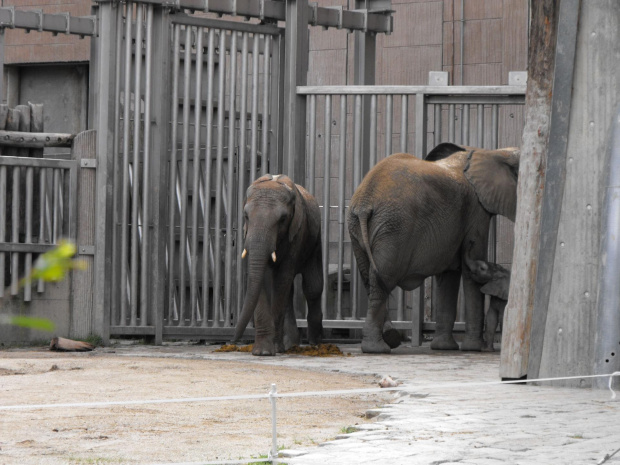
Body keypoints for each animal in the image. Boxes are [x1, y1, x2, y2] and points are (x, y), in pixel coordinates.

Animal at [230, 174, 322, 356]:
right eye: (246, 216)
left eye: (283, 219)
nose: (232, 341)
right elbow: (262, 280)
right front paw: (262, 352)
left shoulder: (297, 233)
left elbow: (282, 280)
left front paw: (274, 349)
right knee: (290, 290)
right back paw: (290, 344)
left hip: (315, 240)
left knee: (312, 287)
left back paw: (315, 344)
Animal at [348, 141, 520, 352]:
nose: (467, 244)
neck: (494, 153)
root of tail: (364, 202)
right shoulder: (476, 210)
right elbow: (468, 273)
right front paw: (472, 348)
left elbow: (449, 276)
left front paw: (444, 348)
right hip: (394, 228)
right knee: (383, 280)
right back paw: (378, 348)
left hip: (359, 229)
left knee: (370, 280)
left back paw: (389, 339)